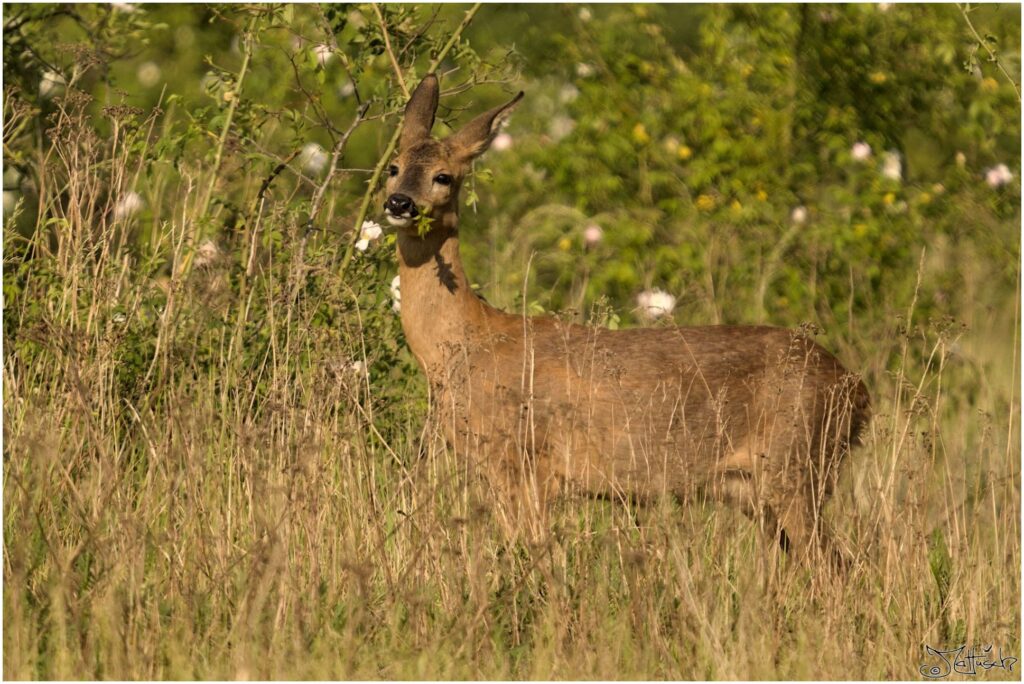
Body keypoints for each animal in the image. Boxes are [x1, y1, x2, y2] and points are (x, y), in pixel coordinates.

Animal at [385, 73, 872, 565]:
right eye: (393, 165)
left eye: (443, 176)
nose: (399, 203)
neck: (465, 341)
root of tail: (856, 389)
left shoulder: (525, 462)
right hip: (762, 490)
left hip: (796, 465)